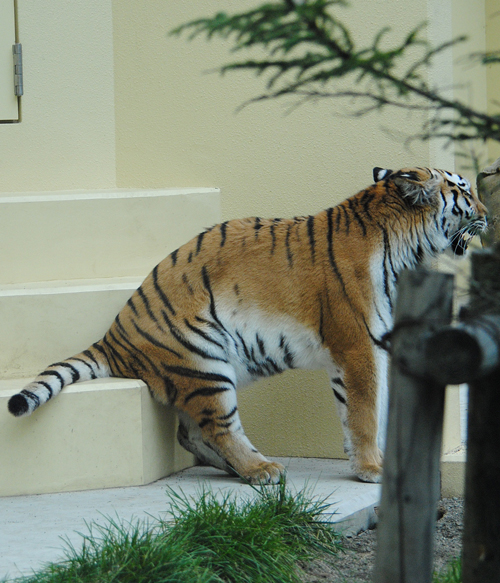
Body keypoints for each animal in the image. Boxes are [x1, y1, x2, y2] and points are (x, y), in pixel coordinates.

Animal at [6, 165, 488, 484]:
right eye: (463, 189)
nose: (489, 212)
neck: (406, 248)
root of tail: (112, 337)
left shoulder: (360, 352)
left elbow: (357, 410)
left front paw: (363, 462)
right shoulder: (358, 346)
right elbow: (367, 411)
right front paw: (373, 469)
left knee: (191, 433)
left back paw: (240, 467)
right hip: (204, 359)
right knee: (217, 428)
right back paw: (260, 468)